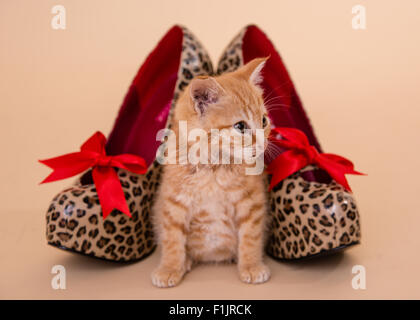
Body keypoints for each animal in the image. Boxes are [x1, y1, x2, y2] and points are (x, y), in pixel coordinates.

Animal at [150, 57, 270, 288]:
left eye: (264, 121)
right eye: (240, 126)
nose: (263, 143)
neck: (214, 169)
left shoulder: (252, 202)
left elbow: (251, 236)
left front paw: (251, 266)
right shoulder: (172, 203)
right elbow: (172, 238)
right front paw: (170, 268)